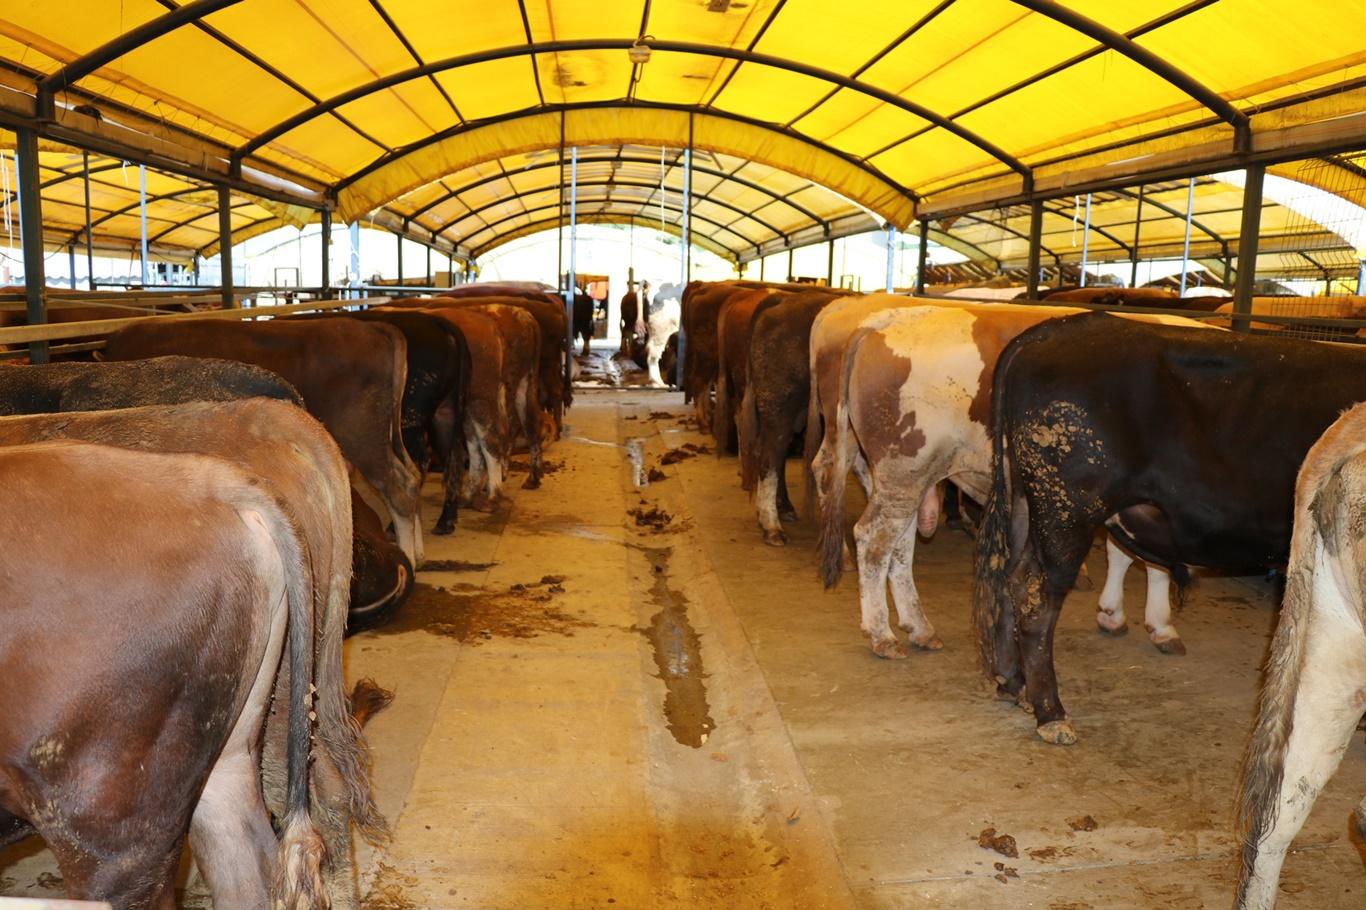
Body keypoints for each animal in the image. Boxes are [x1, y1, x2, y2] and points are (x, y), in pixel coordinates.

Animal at [102, 317, 424, 567]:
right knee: (412, 475)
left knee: (397, 486)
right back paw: (418, 551)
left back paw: (409, 556)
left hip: (360, 433)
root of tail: (373, 327)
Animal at [973, 314, 1366, 744]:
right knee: (1036, 596)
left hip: (1026, 501)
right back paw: (1050, 712)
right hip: (1068, 506)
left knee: (1010, 577)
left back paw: (1012, 684)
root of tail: (1060, 326)